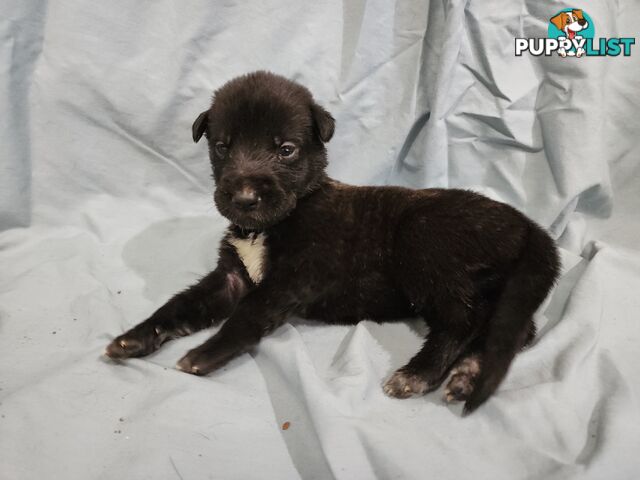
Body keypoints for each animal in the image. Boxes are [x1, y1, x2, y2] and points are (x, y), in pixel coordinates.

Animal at [105, 70, 560, 412]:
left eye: (285, 150)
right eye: (221, 147)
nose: (244, 198)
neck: (278, 220)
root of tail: (525, 223)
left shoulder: (293, 278)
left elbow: (247, 315)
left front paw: (203, 354)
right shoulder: (231, 276)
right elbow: (179, 304)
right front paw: (135, 337)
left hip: (425, 244)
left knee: (464, 319)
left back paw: (419, 373)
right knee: (513, 327)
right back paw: (468, 374)